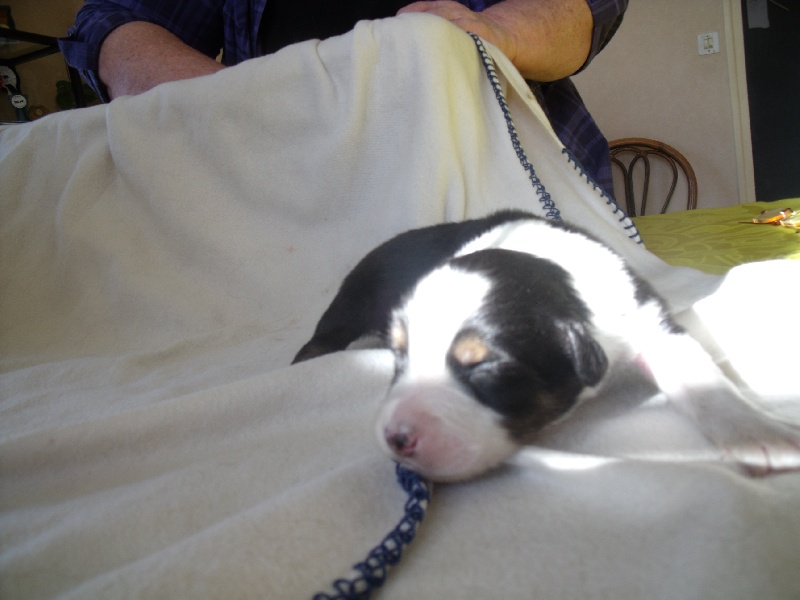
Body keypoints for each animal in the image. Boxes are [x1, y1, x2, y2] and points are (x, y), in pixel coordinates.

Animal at [294, 210, 800, 481]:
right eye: (401, 356)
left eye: (485, 367)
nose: (395, 437)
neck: (552, 269)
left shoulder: (647, 320)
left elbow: (701, 379)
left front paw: (763, 436)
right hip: (345, 309)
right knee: (315, 346)